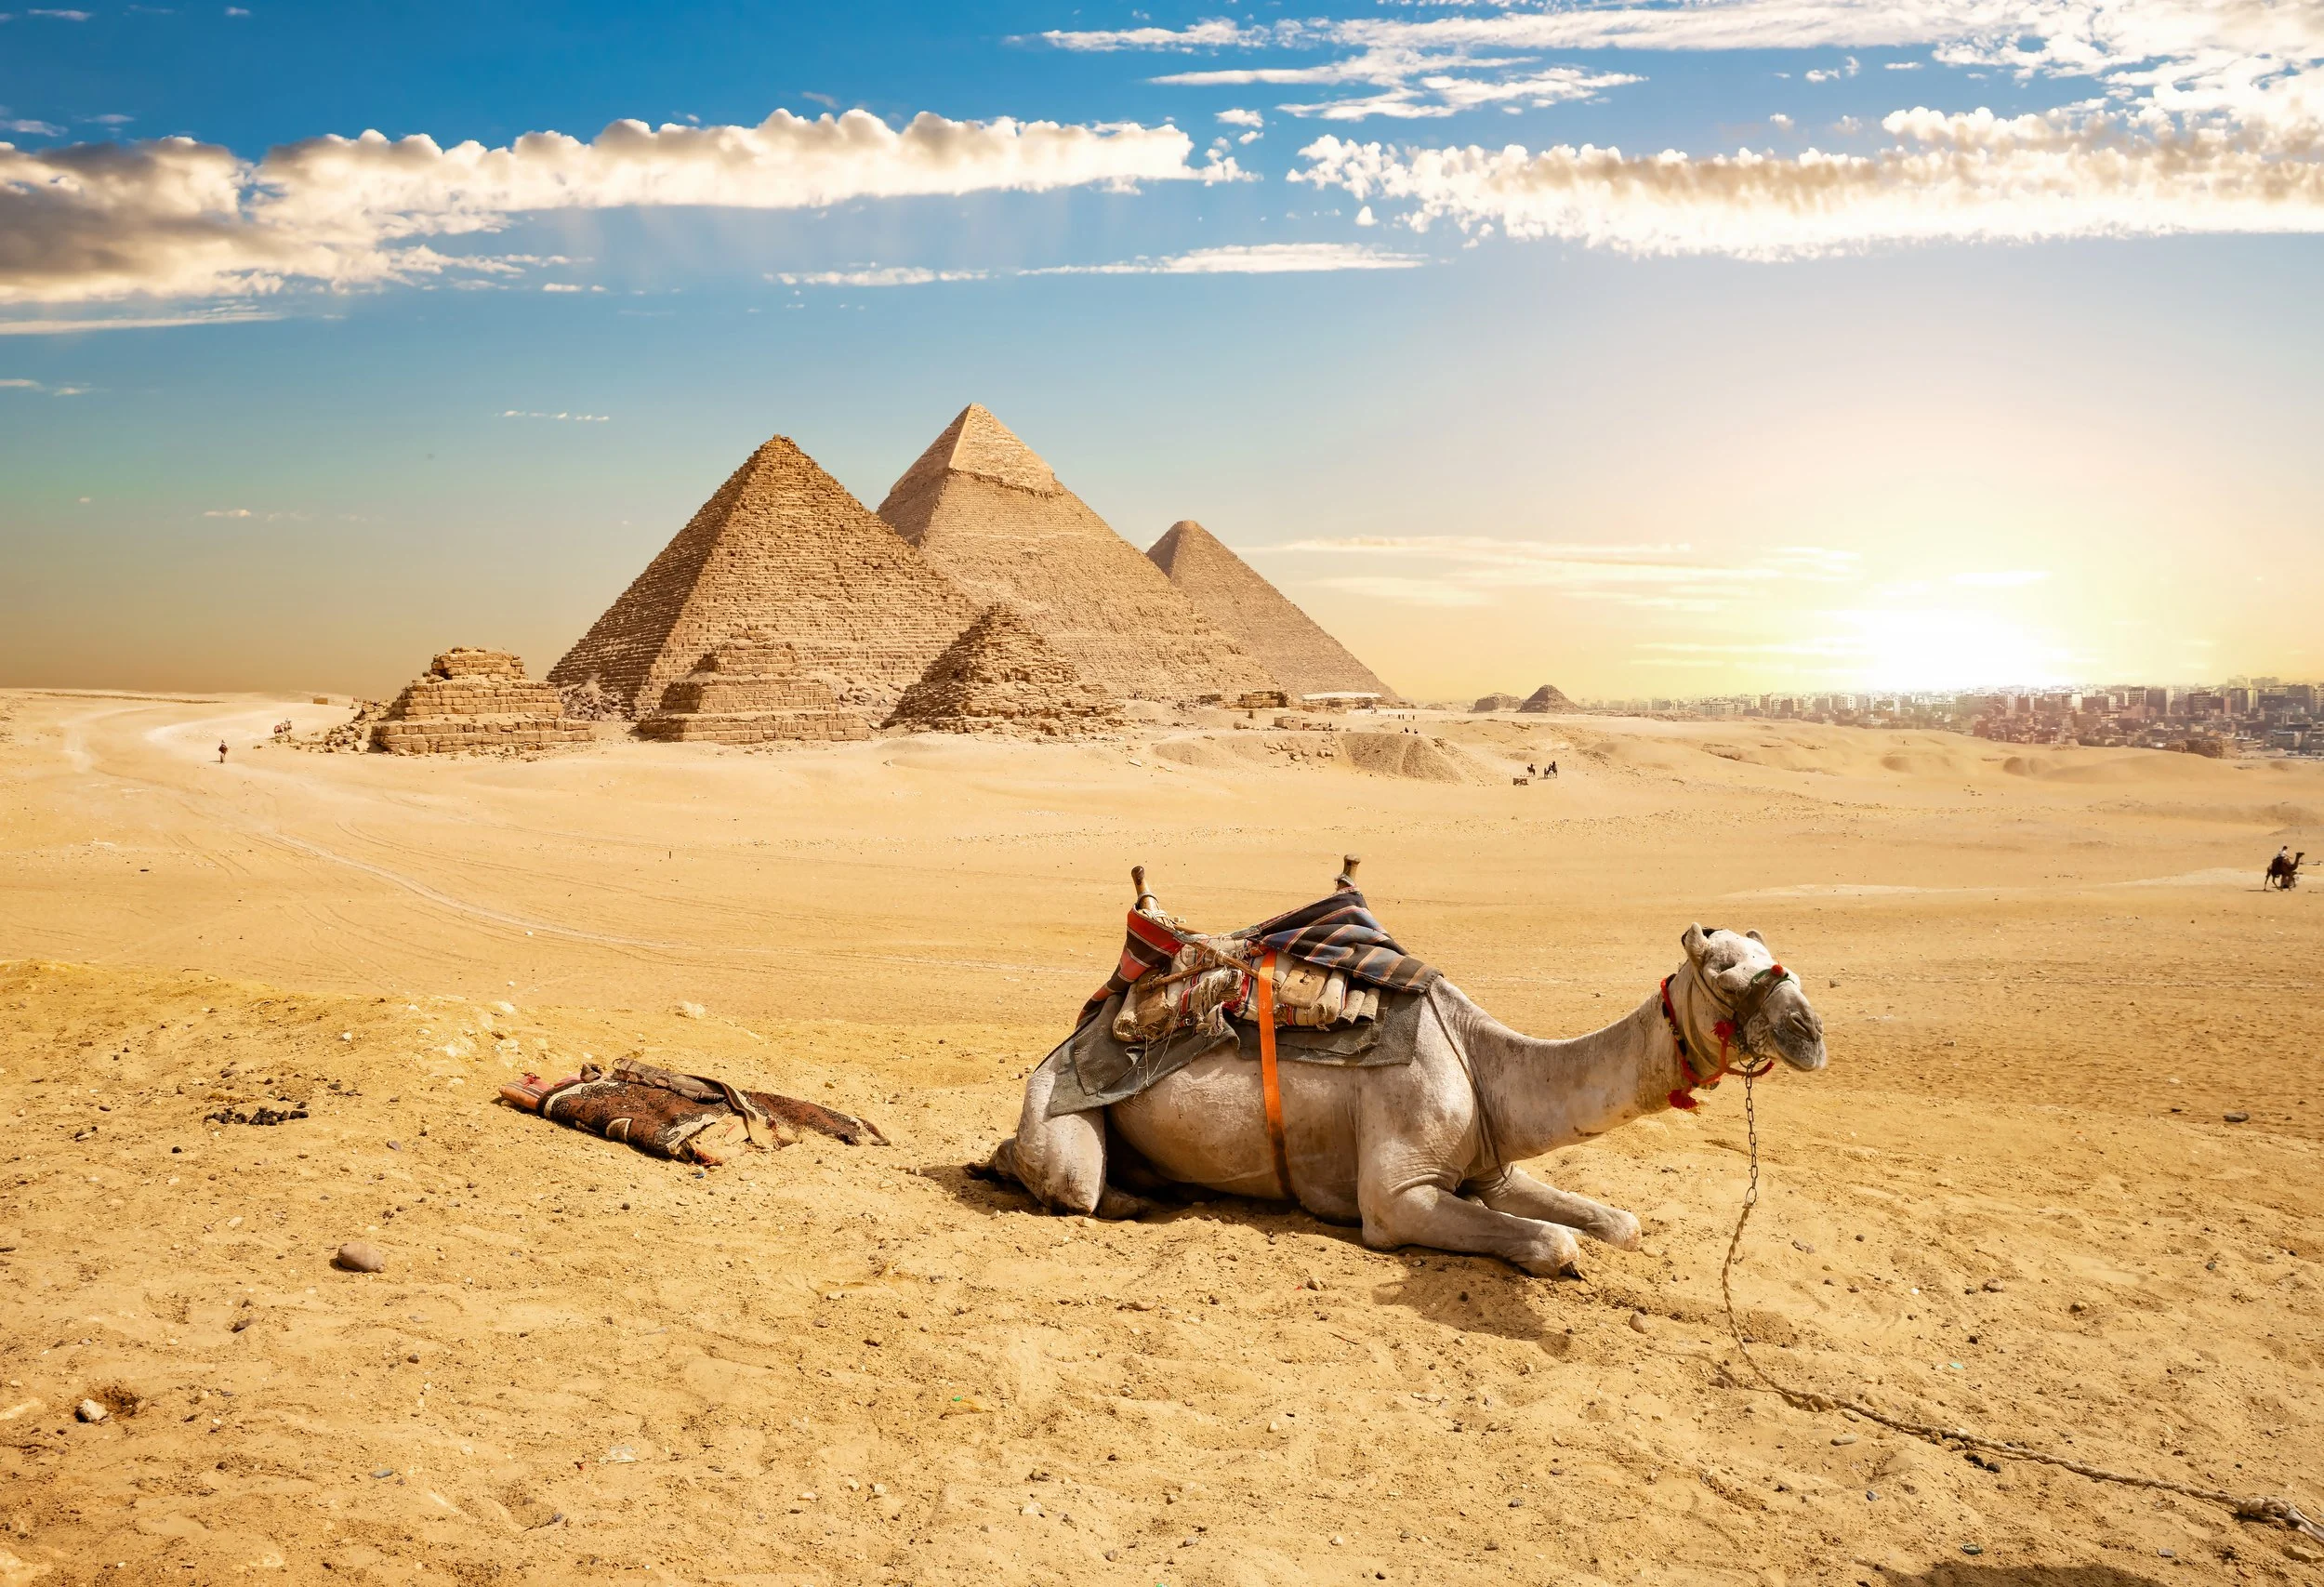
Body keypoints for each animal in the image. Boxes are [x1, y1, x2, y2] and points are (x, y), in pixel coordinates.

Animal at [983, 919, 1827, 1275]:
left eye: (1778, 958)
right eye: (1721, 971)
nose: (1811, 1032)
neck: (1484, 1059)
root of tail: (1086, 1022)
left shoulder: (1491, 1163)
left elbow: (1619, 1222)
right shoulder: (1397, 1195)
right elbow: (1558, 1242)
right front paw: (1559, 1255)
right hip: (1056, 1104)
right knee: (1068, 1179)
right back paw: (1117, 1195)